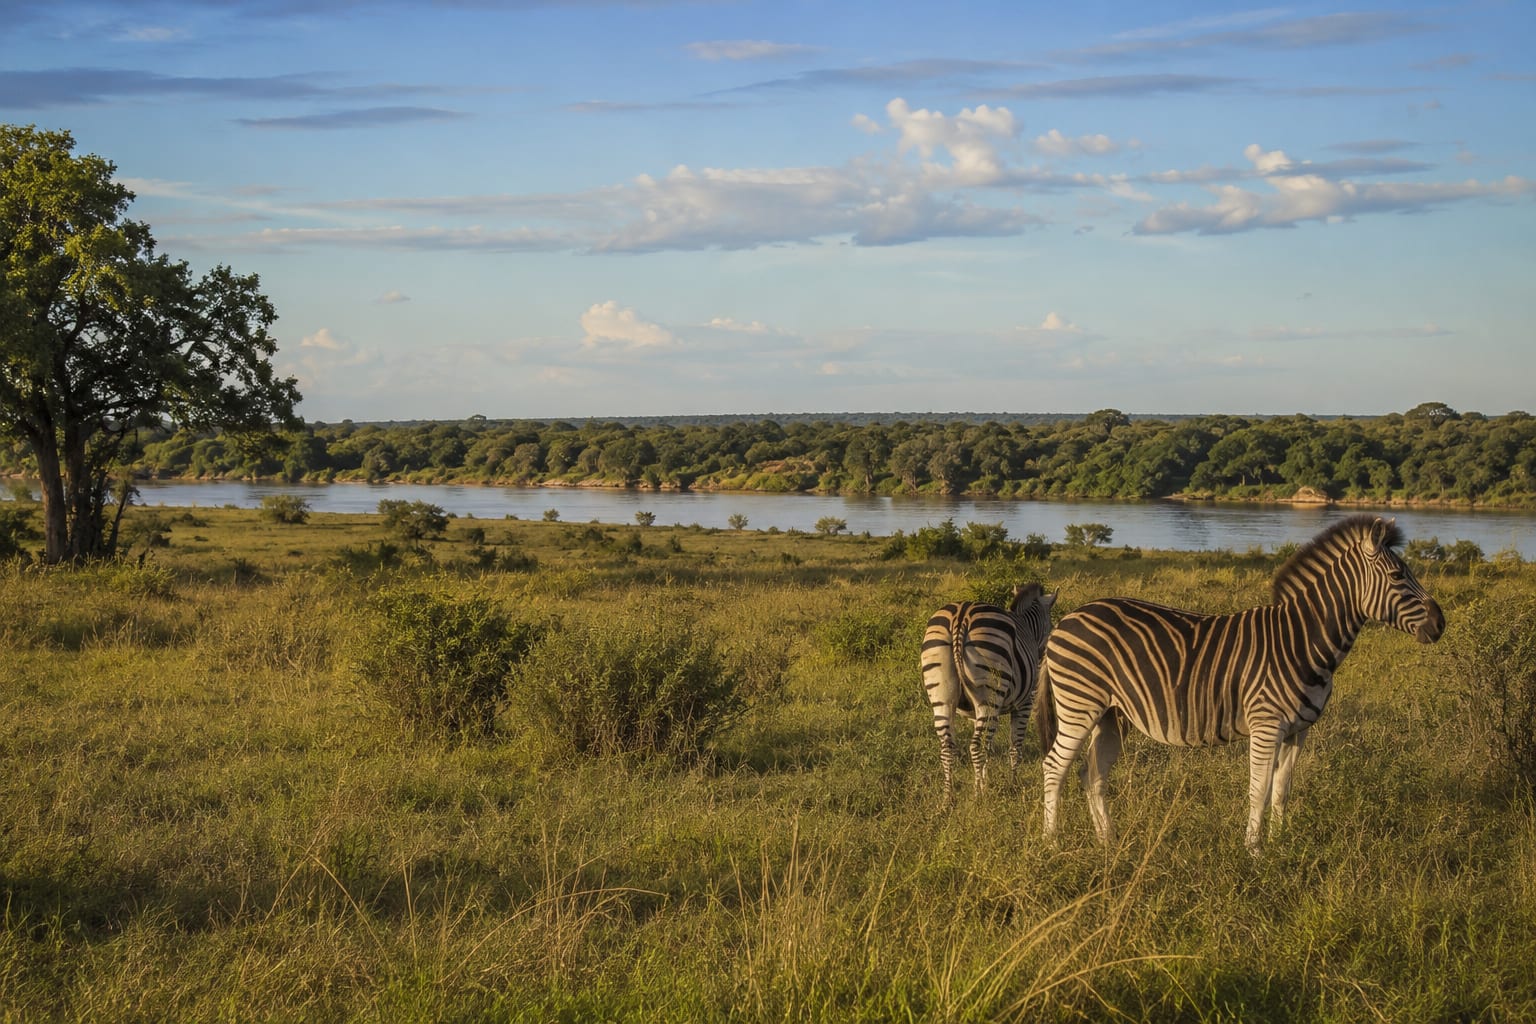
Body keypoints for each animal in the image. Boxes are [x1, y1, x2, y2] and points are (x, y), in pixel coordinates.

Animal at [921, 582, 1057, 802]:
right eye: (1051, 626)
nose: (1044, 654)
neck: (1027, 626)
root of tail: (960, 615)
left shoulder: (976, 713)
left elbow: (990, 746)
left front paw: (986, 780)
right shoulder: (1025, 703)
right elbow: (1015, 747)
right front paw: (1012, 784)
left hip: (943, 696)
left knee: (948, 747)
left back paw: (948, 798)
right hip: (989, 688)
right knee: (975, 746)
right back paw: (978, 796)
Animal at [1038, 515, 1444, 853]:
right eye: (1398, 576)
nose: (1440, 624)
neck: (1301, 641)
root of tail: (1066, 619)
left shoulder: (1299, 730)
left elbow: (1281, 790)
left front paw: (1280, 845)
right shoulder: (1267, 724)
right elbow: (1259, 790)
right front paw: (1254, 851)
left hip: (1111, 714)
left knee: (1092, 774)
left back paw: (1108, 842)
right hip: (1079, 704)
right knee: (1054, 766)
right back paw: (1052, 843)